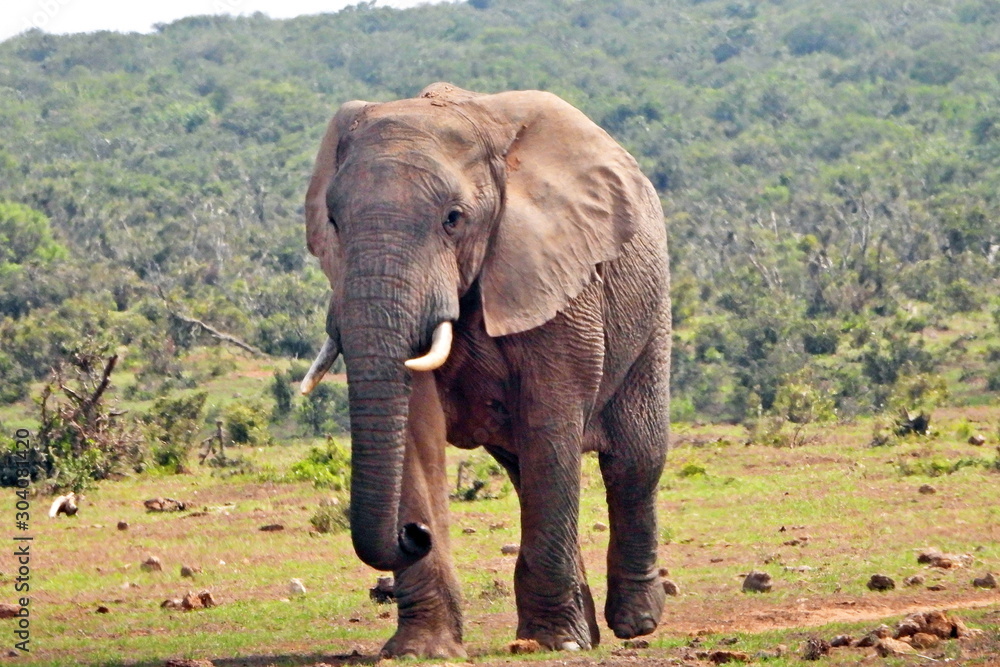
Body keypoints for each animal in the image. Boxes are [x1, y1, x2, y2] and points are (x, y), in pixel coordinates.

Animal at [300, 82, 671, 658]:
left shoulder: (556, 273)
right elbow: (417, 427)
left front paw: (554, 643)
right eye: (333, 224)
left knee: (633, 460)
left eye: (453, 218)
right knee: (524, 469)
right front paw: (421, 651)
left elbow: (551, 421)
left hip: (652, 309)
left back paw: (636, 623)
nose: (412, 533)